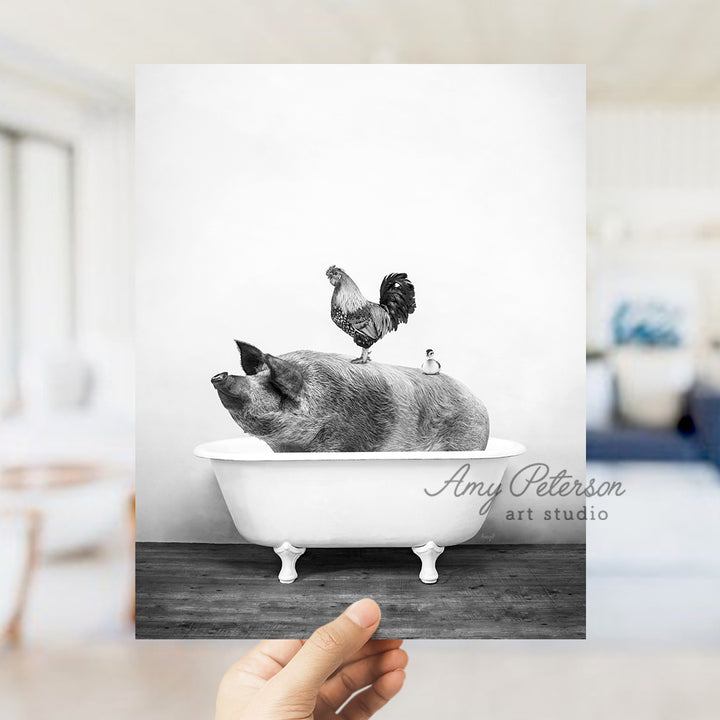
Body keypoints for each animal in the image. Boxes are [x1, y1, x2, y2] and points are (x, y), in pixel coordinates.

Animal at [210, 342, 490, 450]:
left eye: (274, 385)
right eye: (255, 375)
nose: (221, 375)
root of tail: (480, 403)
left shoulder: (345, 442)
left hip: (467, 440)